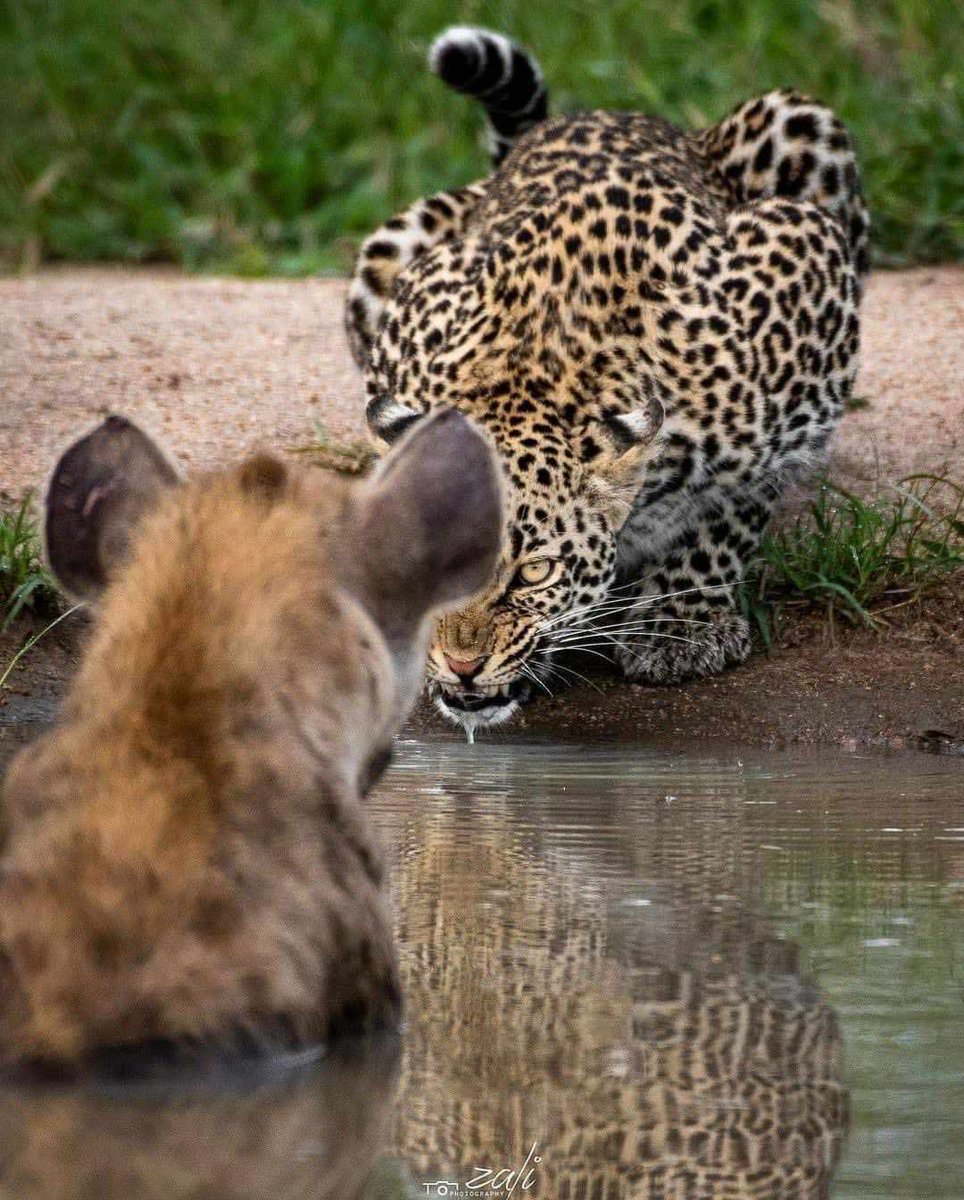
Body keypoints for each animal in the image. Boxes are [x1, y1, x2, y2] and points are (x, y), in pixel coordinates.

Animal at [345, 25, 869, 739]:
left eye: (533, 571)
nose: (461, 665)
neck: (528, 374)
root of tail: (604, 114)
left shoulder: (804, 277)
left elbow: (740, 501)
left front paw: (680, 622)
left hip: (801, 124)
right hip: (385, 253)